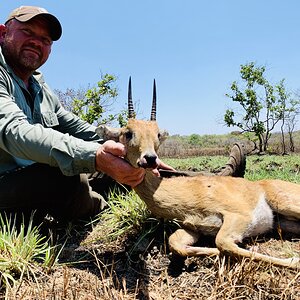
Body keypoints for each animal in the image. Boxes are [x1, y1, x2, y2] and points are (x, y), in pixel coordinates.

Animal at [96, 77, 300, 270]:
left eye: (158, 134)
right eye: (128, 132)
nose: (150, 159)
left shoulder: (239, 216)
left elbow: (223, 243)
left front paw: (294, 260)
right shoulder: (193, 228)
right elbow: (176, 244)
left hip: (284, 204)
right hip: (282, 221)